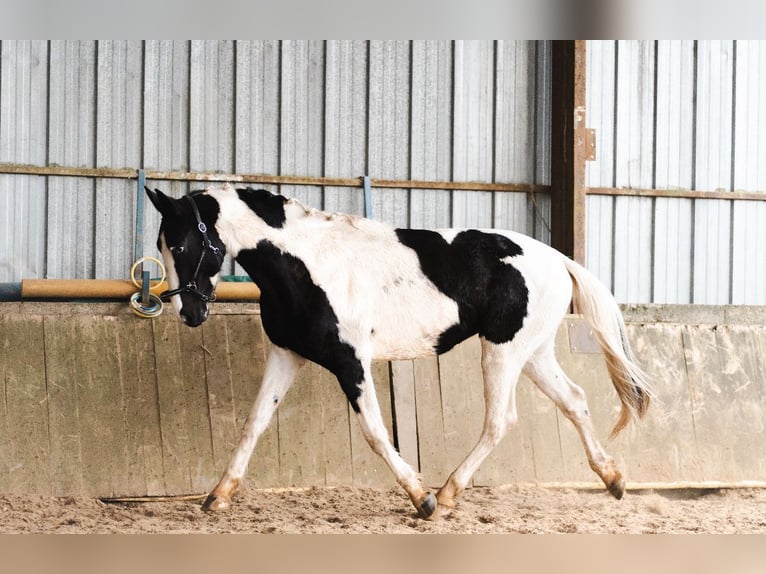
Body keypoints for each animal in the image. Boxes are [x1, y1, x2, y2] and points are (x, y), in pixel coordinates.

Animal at [146, 184, 656, 520]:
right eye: (161, 244)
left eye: (180, 244)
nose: (188, 311)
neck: (307, 263)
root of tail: (559, 259)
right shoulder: (286, 354)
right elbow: (253, 423)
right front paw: (218, 496)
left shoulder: (350, 361)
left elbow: (374, 431)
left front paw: (420, 498)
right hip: (532, 353)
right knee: (574, 400)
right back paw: (613, 480)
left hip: (504, 352)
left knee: (500, 420)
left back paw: (447, 494)